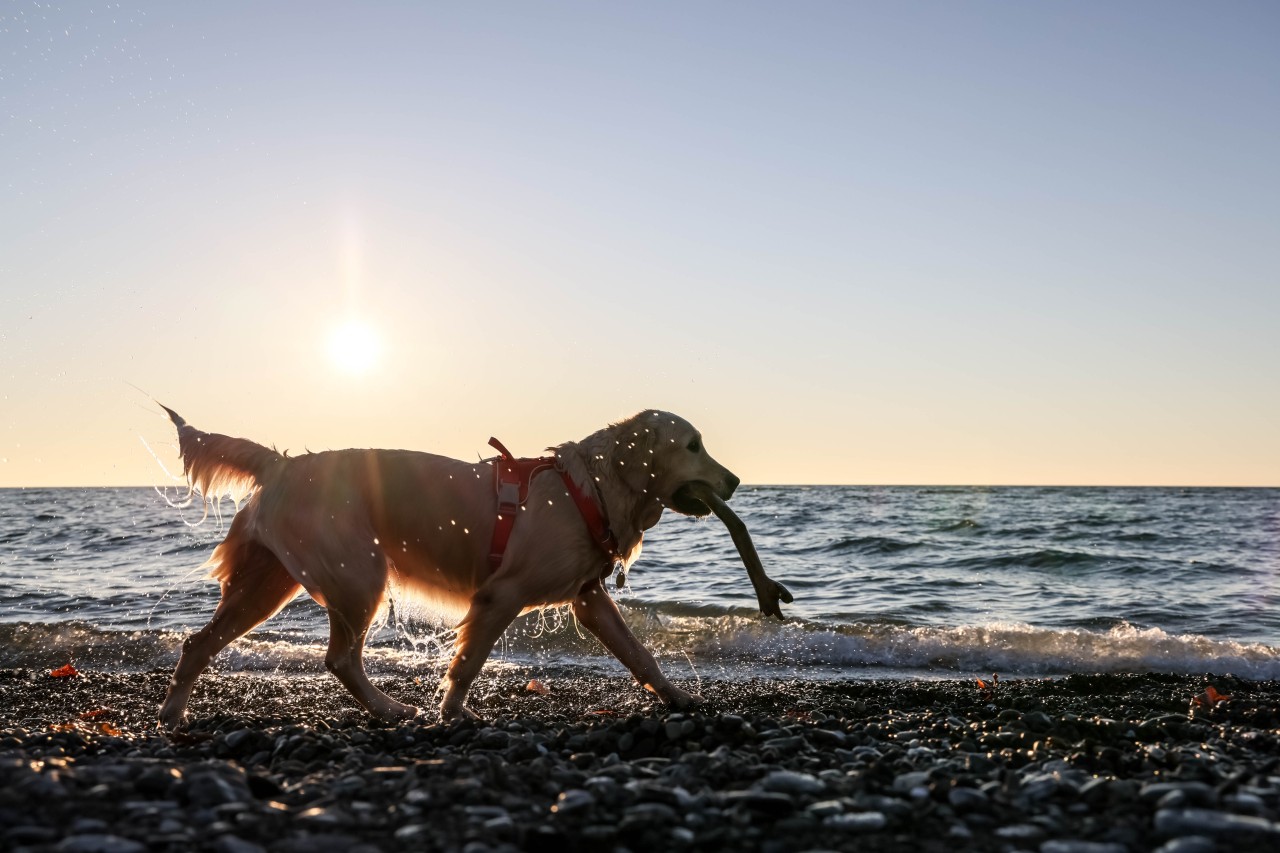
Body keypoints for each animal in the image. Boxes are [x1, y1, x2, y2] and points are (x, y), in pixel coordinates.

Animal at [156, 404, 742, 722]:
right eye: (693, 445)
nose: (735, 481)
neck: (590, 488)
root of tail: (279, 463)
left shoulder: (589, 599)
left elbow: (641, 656)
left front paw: (679, 696)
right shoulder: (501, 594)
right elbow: (468, 662)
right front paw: (455, 712)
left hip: (267, 583)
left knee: (198, 643)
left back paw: (171, 715)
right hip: (359, 574)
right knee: (340, 658)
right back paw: (389, 709)